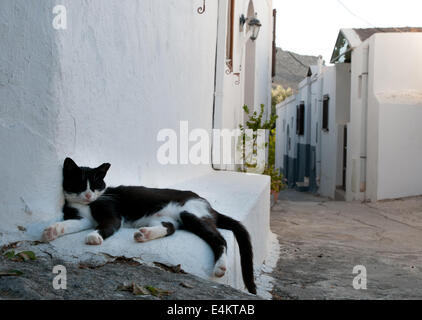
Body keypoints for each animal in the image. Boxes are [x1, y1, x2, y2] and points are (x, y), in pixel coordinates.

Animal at [41, 158, 256, 296]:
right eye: (79, 185)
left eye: (95, 185)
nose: (88, 195)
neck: (87, 205)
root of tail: (208, 204)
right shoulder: (83, 218)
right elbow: (70, 224)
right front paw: (52, 230)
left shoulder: (112, 212)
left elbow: (108, 224)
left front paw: (94, 236)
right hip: (165, 217)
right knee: (170, 227)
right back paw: (144, 234)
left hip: (190, 212)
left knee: (219, 238)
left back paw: (220, 266)